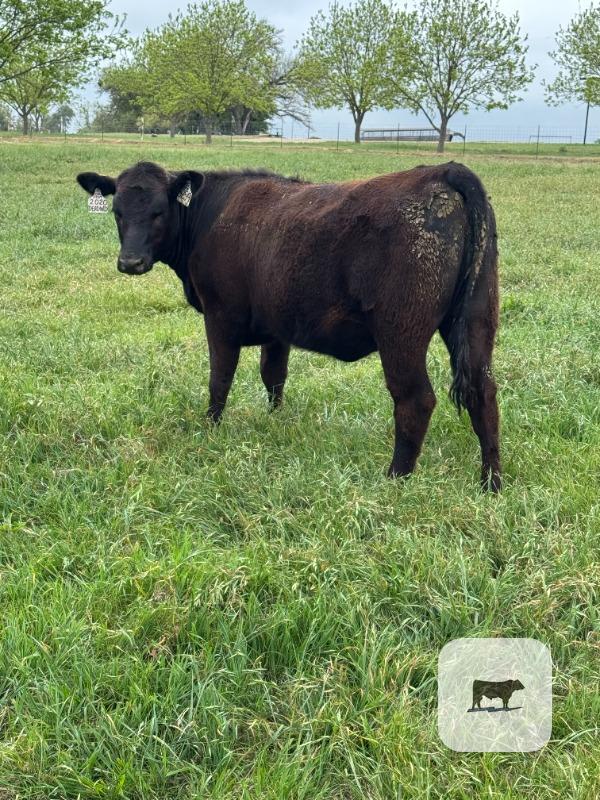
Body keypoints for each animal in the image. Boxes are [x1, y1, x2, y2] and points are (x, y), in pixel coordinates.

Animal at [76, 160, 501, 490]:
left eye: (158, 211)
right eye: (117, 211)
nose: (130, 262)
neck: (209, 215)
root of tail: (443, 171)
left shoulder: (221, 317)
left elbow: (219, 379)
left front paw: (210, 428)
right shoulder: (276, 328)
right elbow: (273, 375)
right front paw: (275, 420)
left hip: (401, 332)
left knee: (415, 400)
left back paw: (396, 478)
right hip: (476, 321)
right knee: (484, 394)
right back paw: (490, 482)